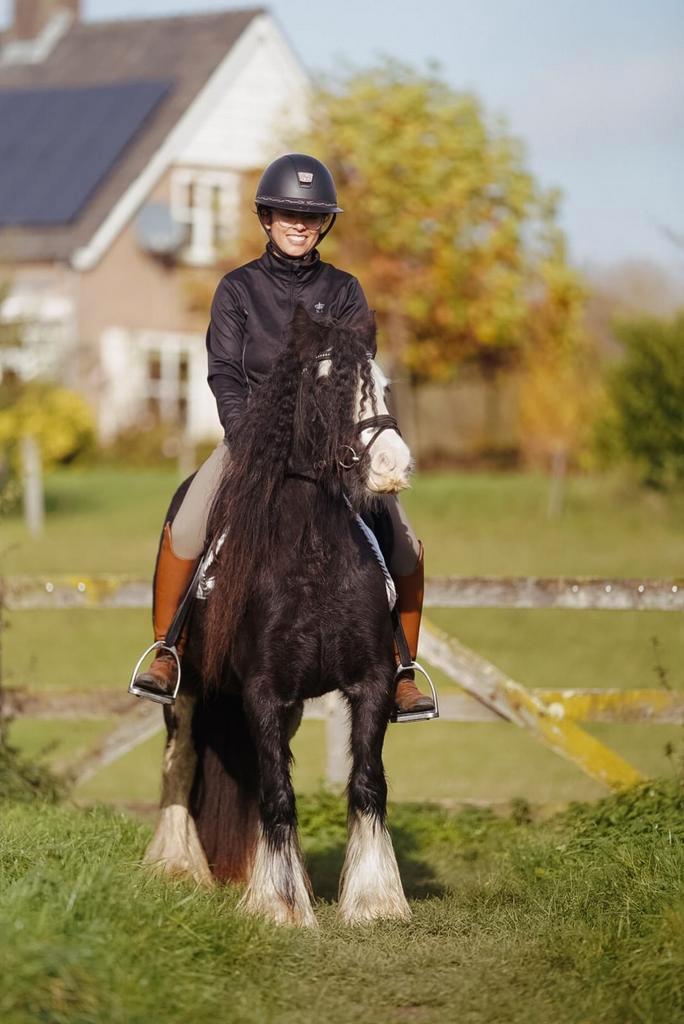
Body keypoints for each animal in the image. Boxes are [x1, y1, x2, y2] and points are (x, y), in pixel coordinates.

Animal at [142, 305, 414, 927]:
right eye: (328, 386)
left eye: (384, 385)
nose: (393, 466)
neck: (311, 554)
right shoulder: (261, 691)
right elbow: (277, 794)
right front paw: (280, 906)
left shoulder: (370, 682)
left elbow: (367, 784)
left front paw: (374, 900)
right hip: (187, 691)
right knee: (180, 762)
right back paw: (177, 865)